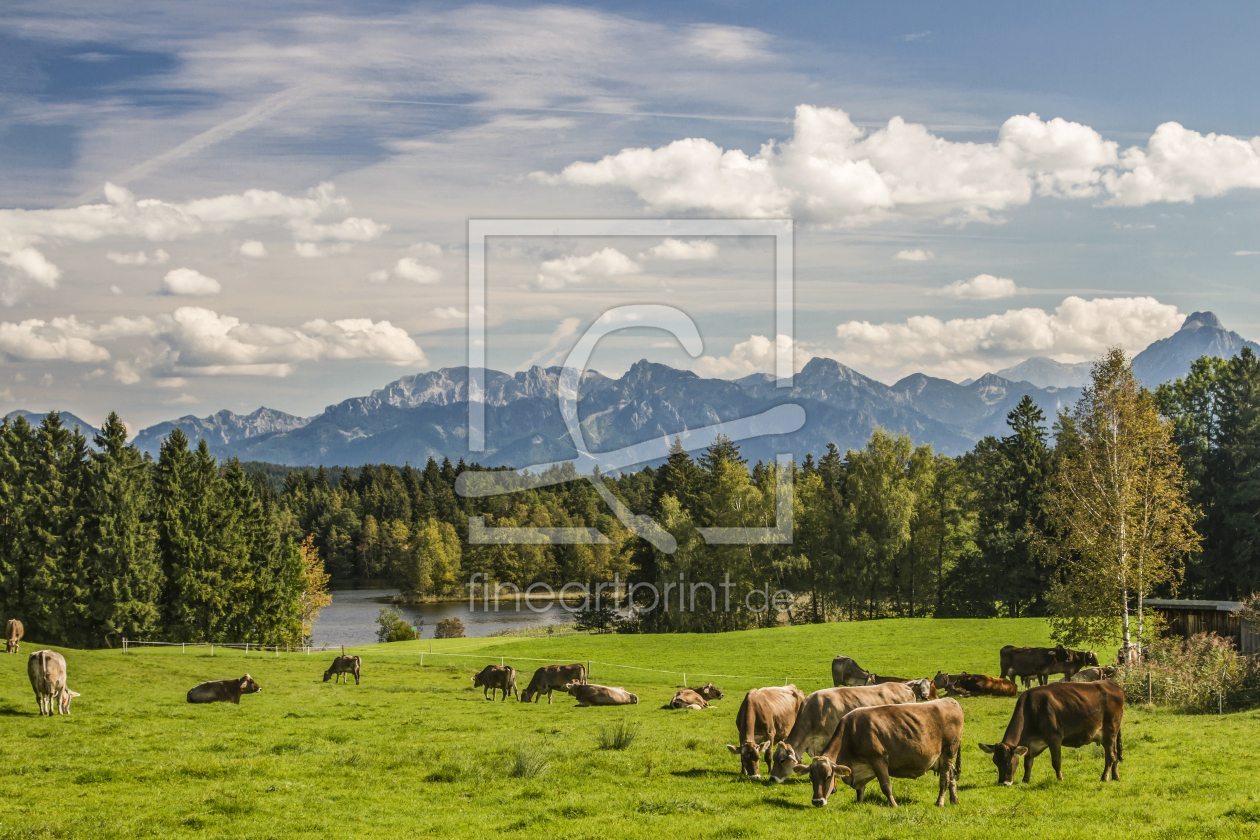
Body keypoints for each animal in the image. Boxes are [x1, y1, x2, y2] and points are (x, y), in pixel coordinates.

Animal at [786, 695, 962, 805]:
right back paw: (954, 800)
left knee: (945, 779)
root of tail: (950, 701)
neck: (852, 733)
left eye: (829, 776)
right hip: (943, 758)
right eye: (811, 777)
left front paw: (894, 805)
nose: (817, 802)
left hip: (948, 752)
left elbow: (886, 786)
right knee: (953, 775)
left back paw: (940, 802)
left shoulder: (878, 759)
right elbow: (860, 790)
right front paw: (859, 803)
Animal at [977, 680, 1128, 785]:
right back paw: (1116, 777)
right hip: (1108, 736)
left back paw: (1104, 777)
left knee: (1110, 756)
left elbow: (1056, 762)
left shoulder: (1054, 738)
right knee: (1114, 755)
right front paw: (1025, 780)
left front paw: (1060, 779)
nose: (1003, 783)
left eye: (1008, 762)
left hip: (1110, 731)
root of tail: (1113, 683)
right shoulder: (1030, 744)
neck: (1030, 710)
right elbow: (1028, 763)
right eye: (995, 762)